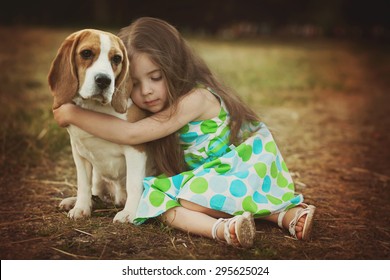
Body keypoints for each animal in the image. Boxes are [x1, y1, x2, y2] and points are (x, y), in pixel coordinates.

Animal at [47, 29, 148, 224]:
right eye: (86, 53)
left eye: (116, 58)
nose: (104, 80)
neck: (95, 109)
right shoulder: (79, 151)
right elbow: (83, 183)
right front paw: (81, 207)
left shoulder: (136, 149)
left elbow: (134, 183)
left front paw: (130, 213)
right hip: (99, 177)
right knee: (95, 191)